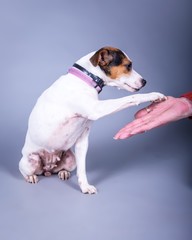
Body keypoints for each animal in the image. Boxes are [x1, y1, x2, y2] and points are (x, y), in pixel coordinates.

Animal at [19, 46, 165, 193]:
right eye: (128, 65)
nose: (145, 81)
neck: (86, 78)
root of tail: (47, 170)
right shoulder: (97, 109)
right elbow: (132, 98)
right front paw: (154, 95)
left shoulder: (82, 141)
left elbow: (82, 169)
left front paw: (85, 187)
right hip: (29, 162)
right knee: (26, 172)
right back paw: (31, 177)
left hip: (71, 159)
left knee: (62, 169)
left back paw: (63, 172)